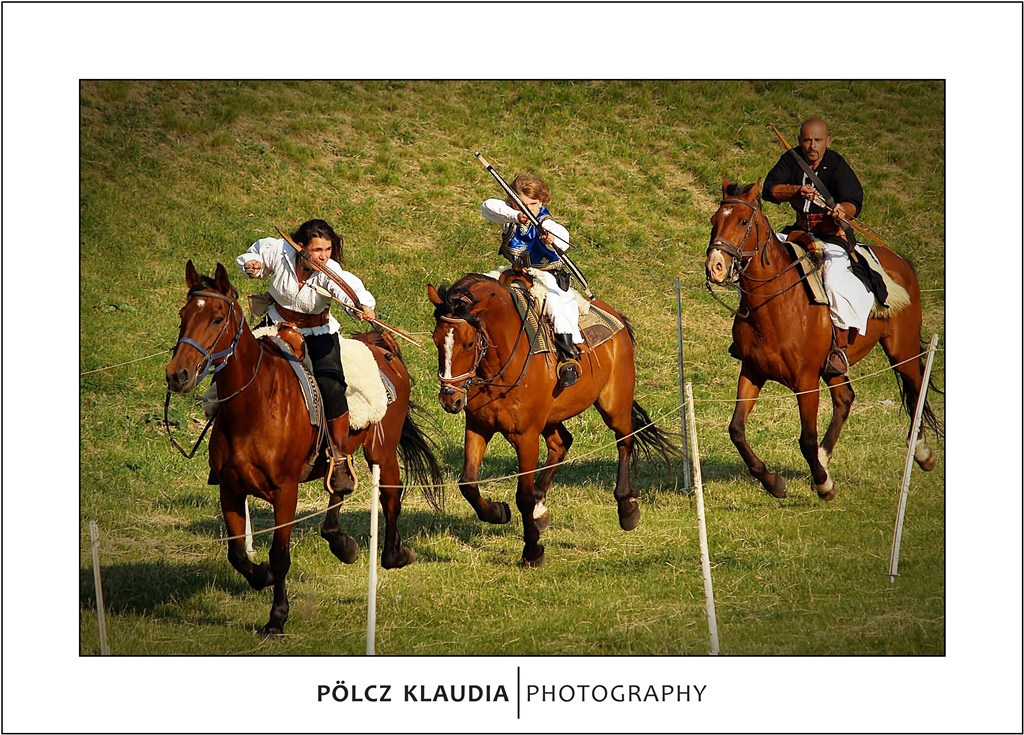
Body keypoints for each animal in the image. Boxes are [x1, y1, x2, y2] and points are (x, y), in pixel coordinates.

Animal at [165, 262, 442, 634]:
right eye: (183, 315)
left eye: (217, 318)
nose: (177, 374)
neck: (255, 406)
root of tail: (381, 344)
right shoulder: (230, 489)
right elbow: (237, 554)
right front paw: (261, 577)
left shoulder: (285, 492)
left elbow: (280, 556)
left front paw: (277, 617)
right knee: (340, 484)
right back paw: (341, 542)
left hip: (382, 451)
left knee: (390, 495)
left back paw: (394, 555)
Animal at [425, 268, 679, 569]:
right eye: (436, 340)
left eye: (469, 343)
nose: (449, 399)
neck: (499, 365)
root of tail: (615, 315)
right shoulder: (478, 426)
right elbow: (467, 483)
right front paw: (498, 512)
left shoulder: (526, 437)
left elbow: (522, 495)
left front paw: (532, 550)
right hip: (550, 418)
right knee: (561, 443)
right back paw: (540, 509)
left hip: (613, 404)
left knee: (624, 440)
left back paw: (626, 507)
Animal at [708, 180, 937, 501]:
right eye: (714, 221)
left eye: (743, 221)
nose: (714, 266)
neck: (776, 304)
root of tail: (902, 262)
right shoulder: (752, 371)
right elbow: (737, 430)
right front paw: (773, 482)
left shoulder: (805, 382)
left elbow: (806, 438)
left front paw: (823, 484)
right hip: (834, 366)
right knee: (845, 398)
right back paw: (824, 458)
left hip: (901, 350)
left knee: (916, 388)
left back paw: (921, 451)